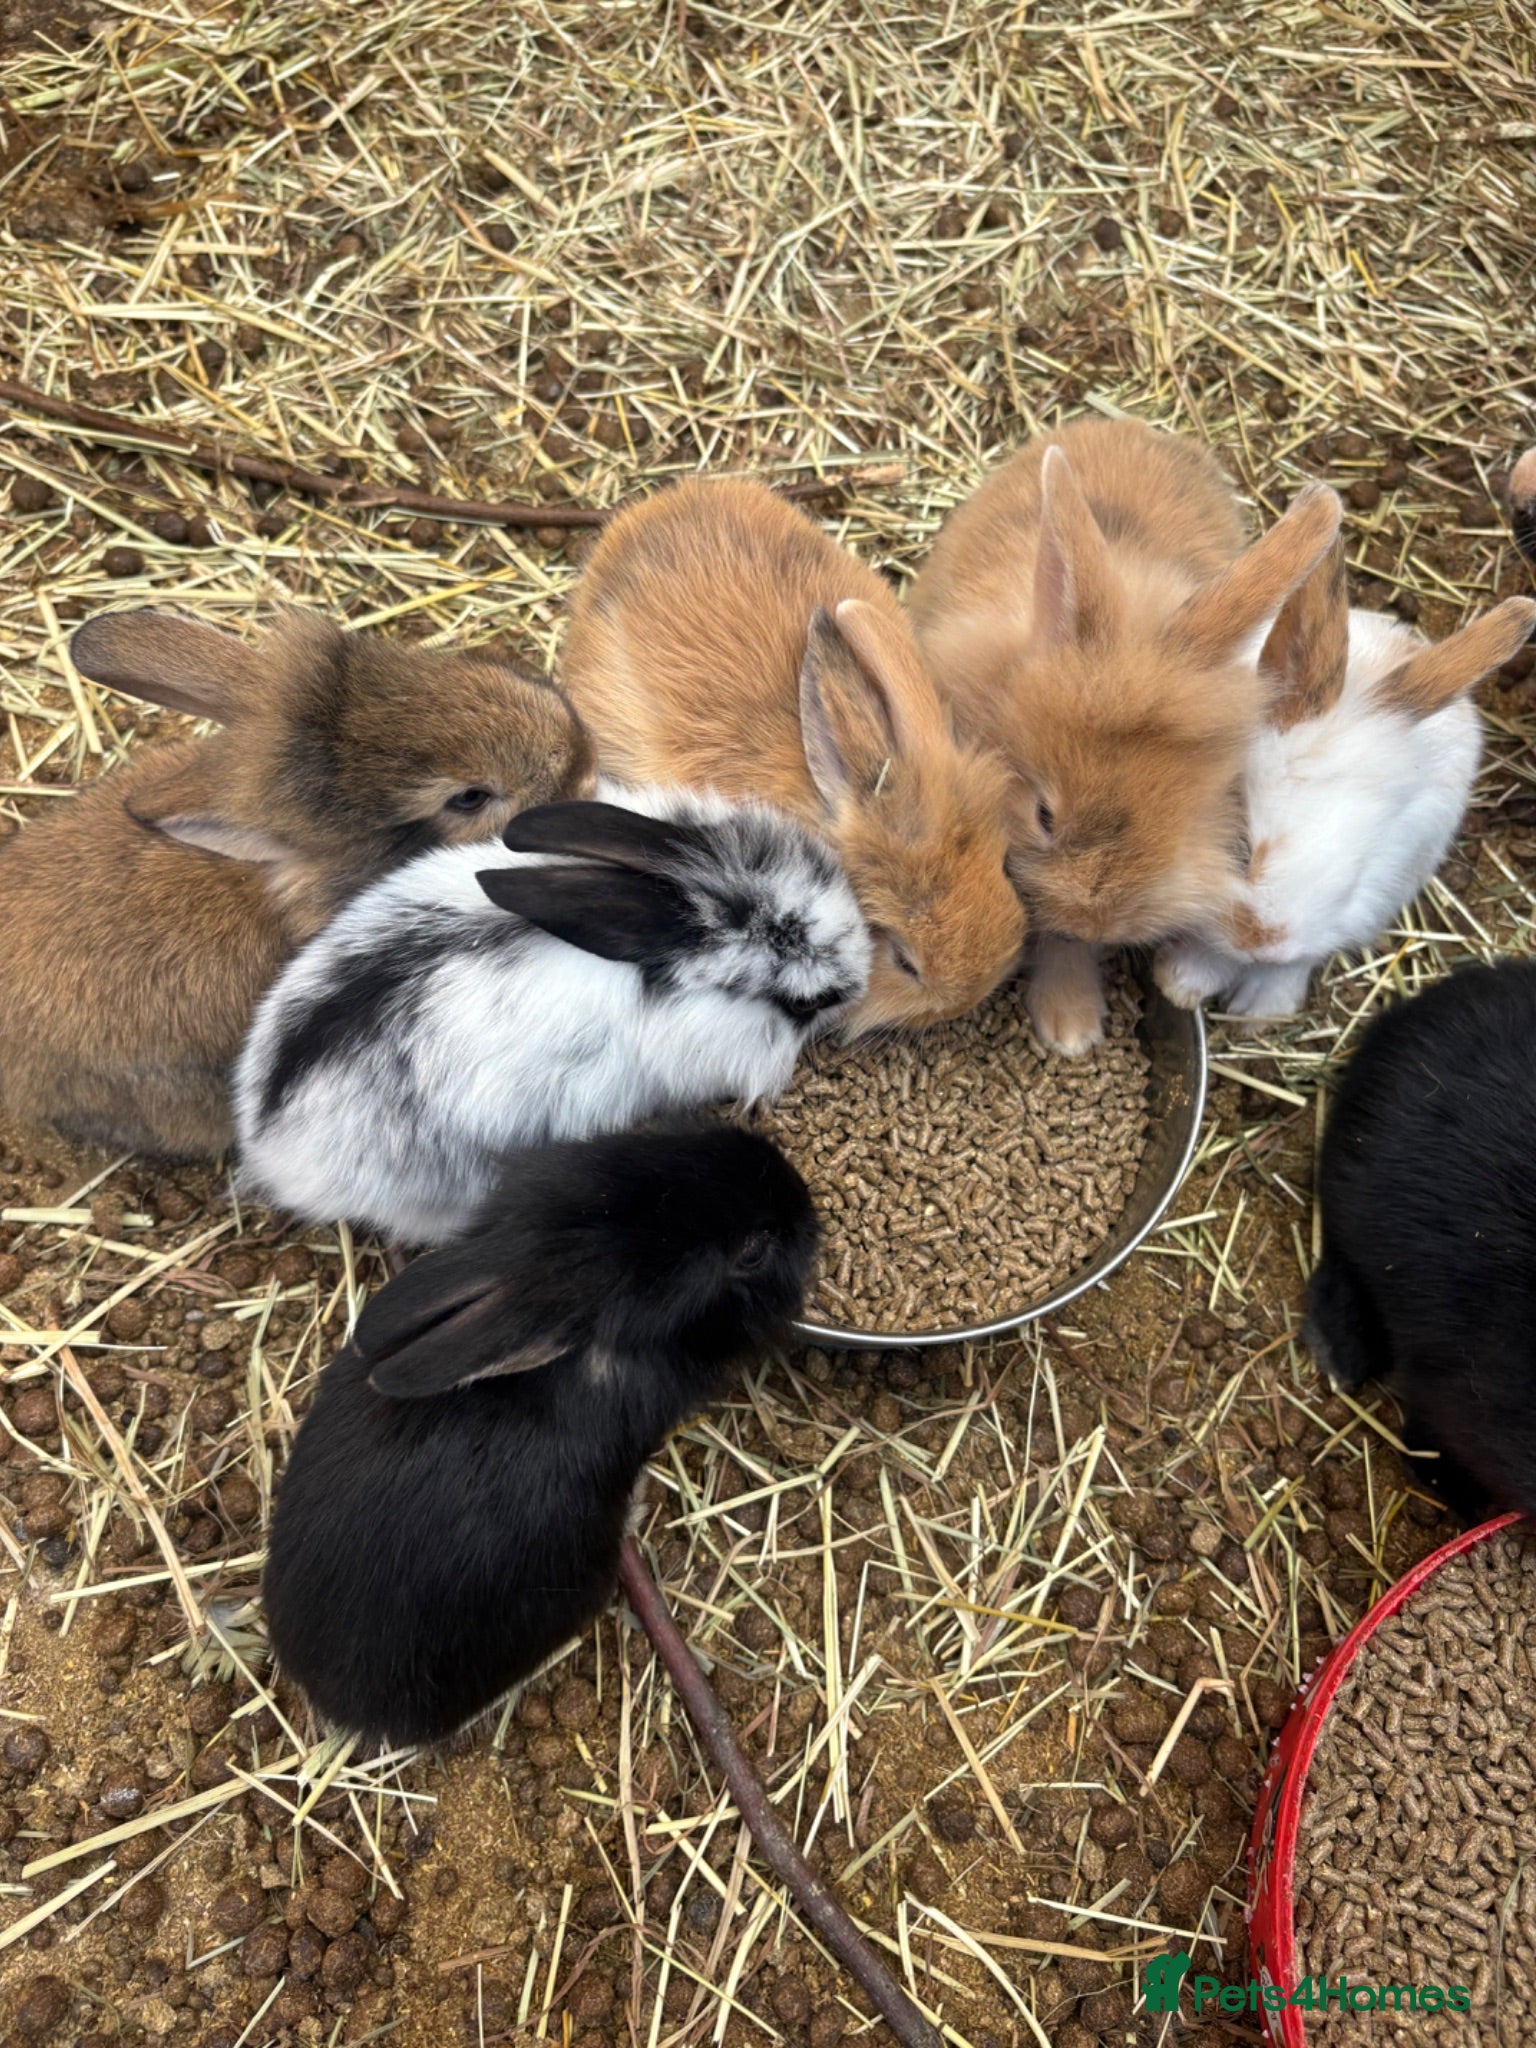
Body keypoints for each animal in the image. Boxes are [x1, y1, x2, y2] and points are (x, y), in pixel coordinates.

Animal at [905, 416, 1343, 1053]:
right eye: (1043, 815)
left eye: (1181, 820)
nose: (1096, 918)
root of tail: (1131, 424)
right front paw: (1070, 1029)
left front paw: (1070, 1027)